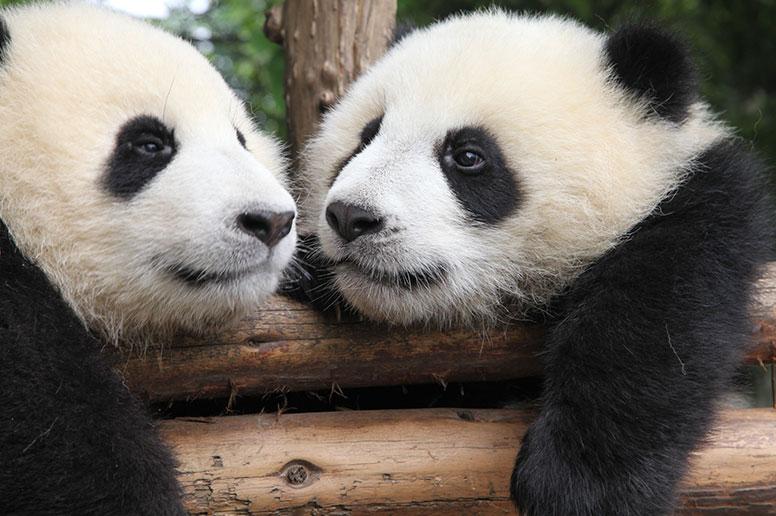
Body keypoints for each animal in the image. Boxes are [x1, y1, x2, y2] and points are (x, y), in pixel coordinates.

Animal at [292, 9, 776, 516]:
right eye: (366, 138)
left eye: (468, 156)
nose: (351, 217)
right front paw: (305, 269)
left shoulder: (698, 205)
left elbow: (657, 320)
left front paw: (578, 487)